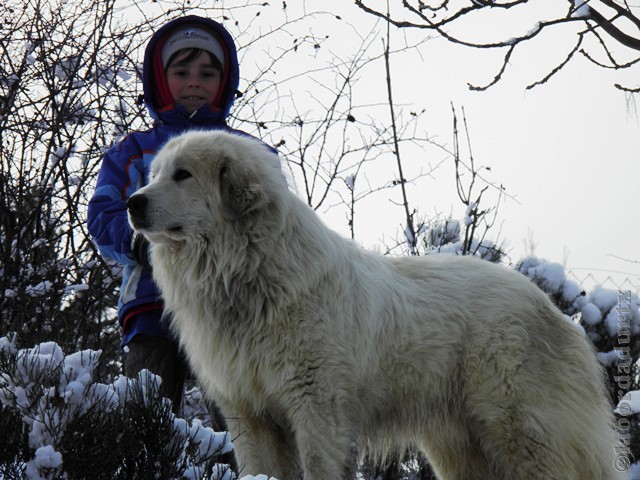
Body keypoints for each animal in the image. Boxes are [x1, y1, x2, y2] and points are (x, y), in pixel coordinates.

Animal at [127, 130, 624, 480]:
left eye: (183, 175)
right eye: (154, 174)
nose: (131, 202)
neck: (247, 275)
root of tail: (550, 308)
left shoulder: (317, 408)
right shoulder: (249, 413)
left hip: (522, 430)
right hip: (460, 447)